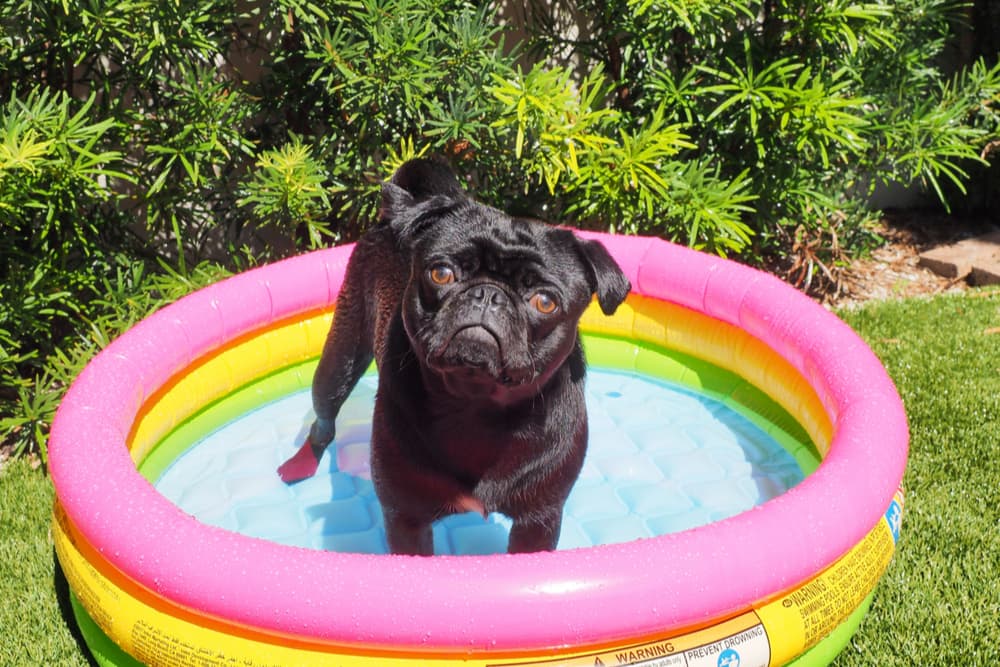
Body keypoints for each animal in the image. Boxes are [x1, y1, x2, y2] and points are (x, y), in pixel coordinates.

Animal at [278, 159, 628, 556]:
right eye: (441, 273)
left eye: (545, 301)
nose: (488, 293)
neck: (477, 405)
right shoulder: (406, 517)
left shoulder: (538, 520)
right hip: (341, 358)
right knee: (324, 419)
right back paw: (299, 465)